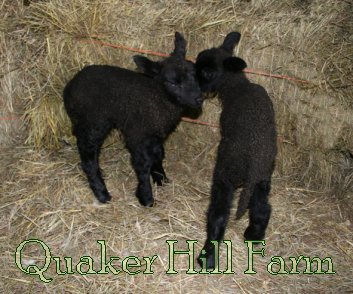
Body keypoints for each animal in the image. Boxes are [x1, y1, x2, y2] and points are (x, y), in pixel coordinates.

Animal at [63, 32, 201, 207]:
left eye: (194, 74)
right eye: (172, 83)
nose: (199, 99)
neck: (157, 97)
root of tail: (70, 86)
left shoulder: (154, 133)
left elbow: (158, 154)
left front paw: (160, 178)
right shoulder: (138, 135)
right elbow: (143, 165)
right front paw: (146, 197)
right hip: (94, 123)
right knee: (88, 157)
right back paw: (102, 193)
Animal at [194, 31, 276, 268]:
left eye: (207, 71)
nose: (194, 85)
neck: (237, 86)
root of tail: (253, 165)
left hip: (225, 175)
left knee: (219, 216)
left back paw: (207, 257)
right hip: (262, 179)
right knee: (262, 208)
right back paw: (254, 236)